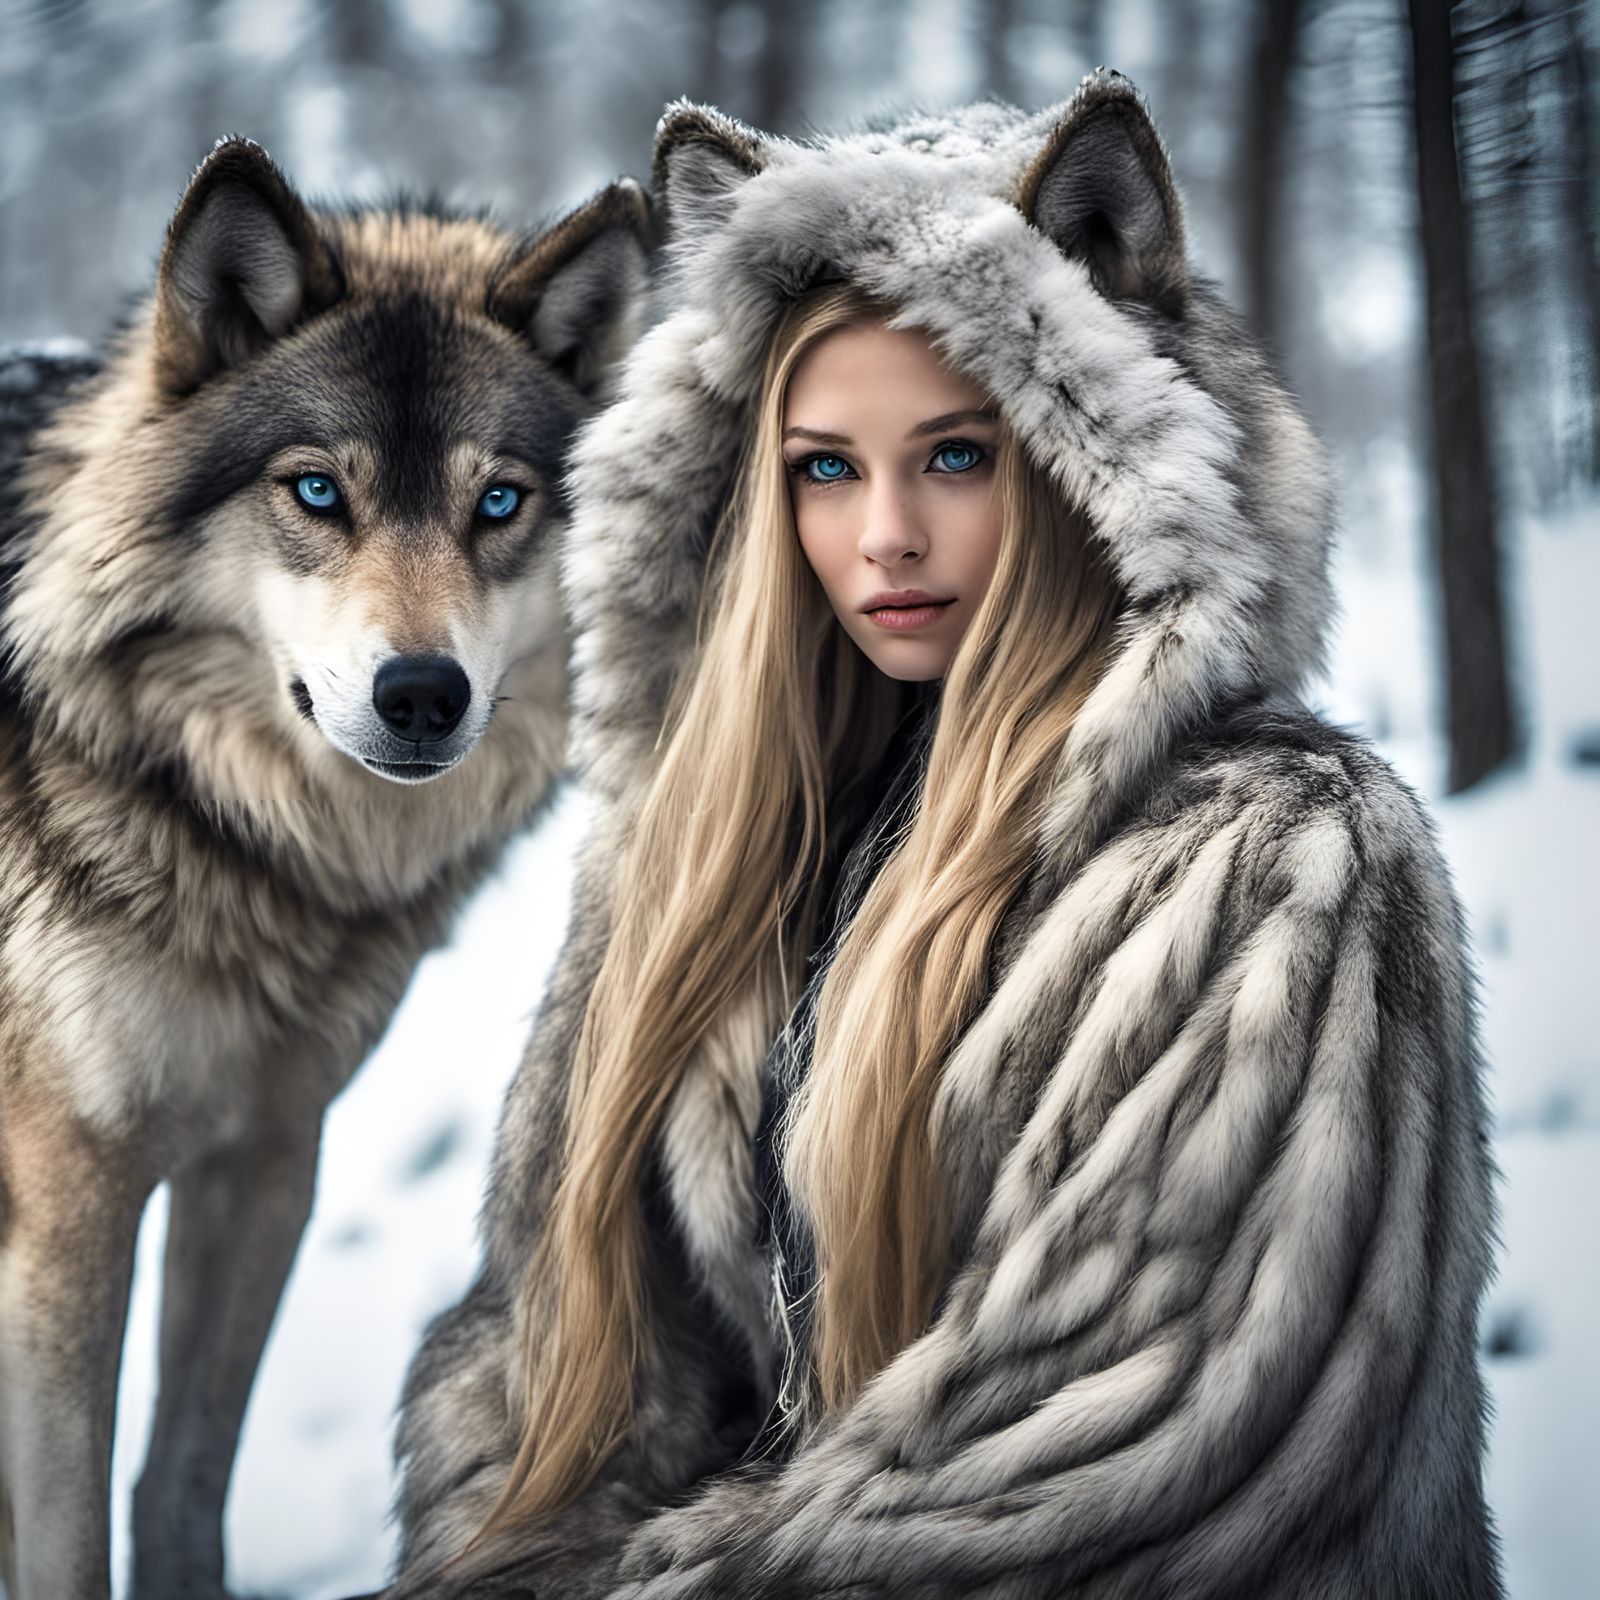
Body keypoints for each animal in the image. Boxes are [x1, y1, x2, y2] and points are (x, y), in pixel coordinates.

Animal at [0, 138, 649, 1600]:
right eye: (314, 491)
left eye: (499, 502)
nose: (422, 695)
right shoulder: (67, 1201)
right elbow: (66, 1534)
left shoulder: (266, 1156)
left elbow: (180, 1480)